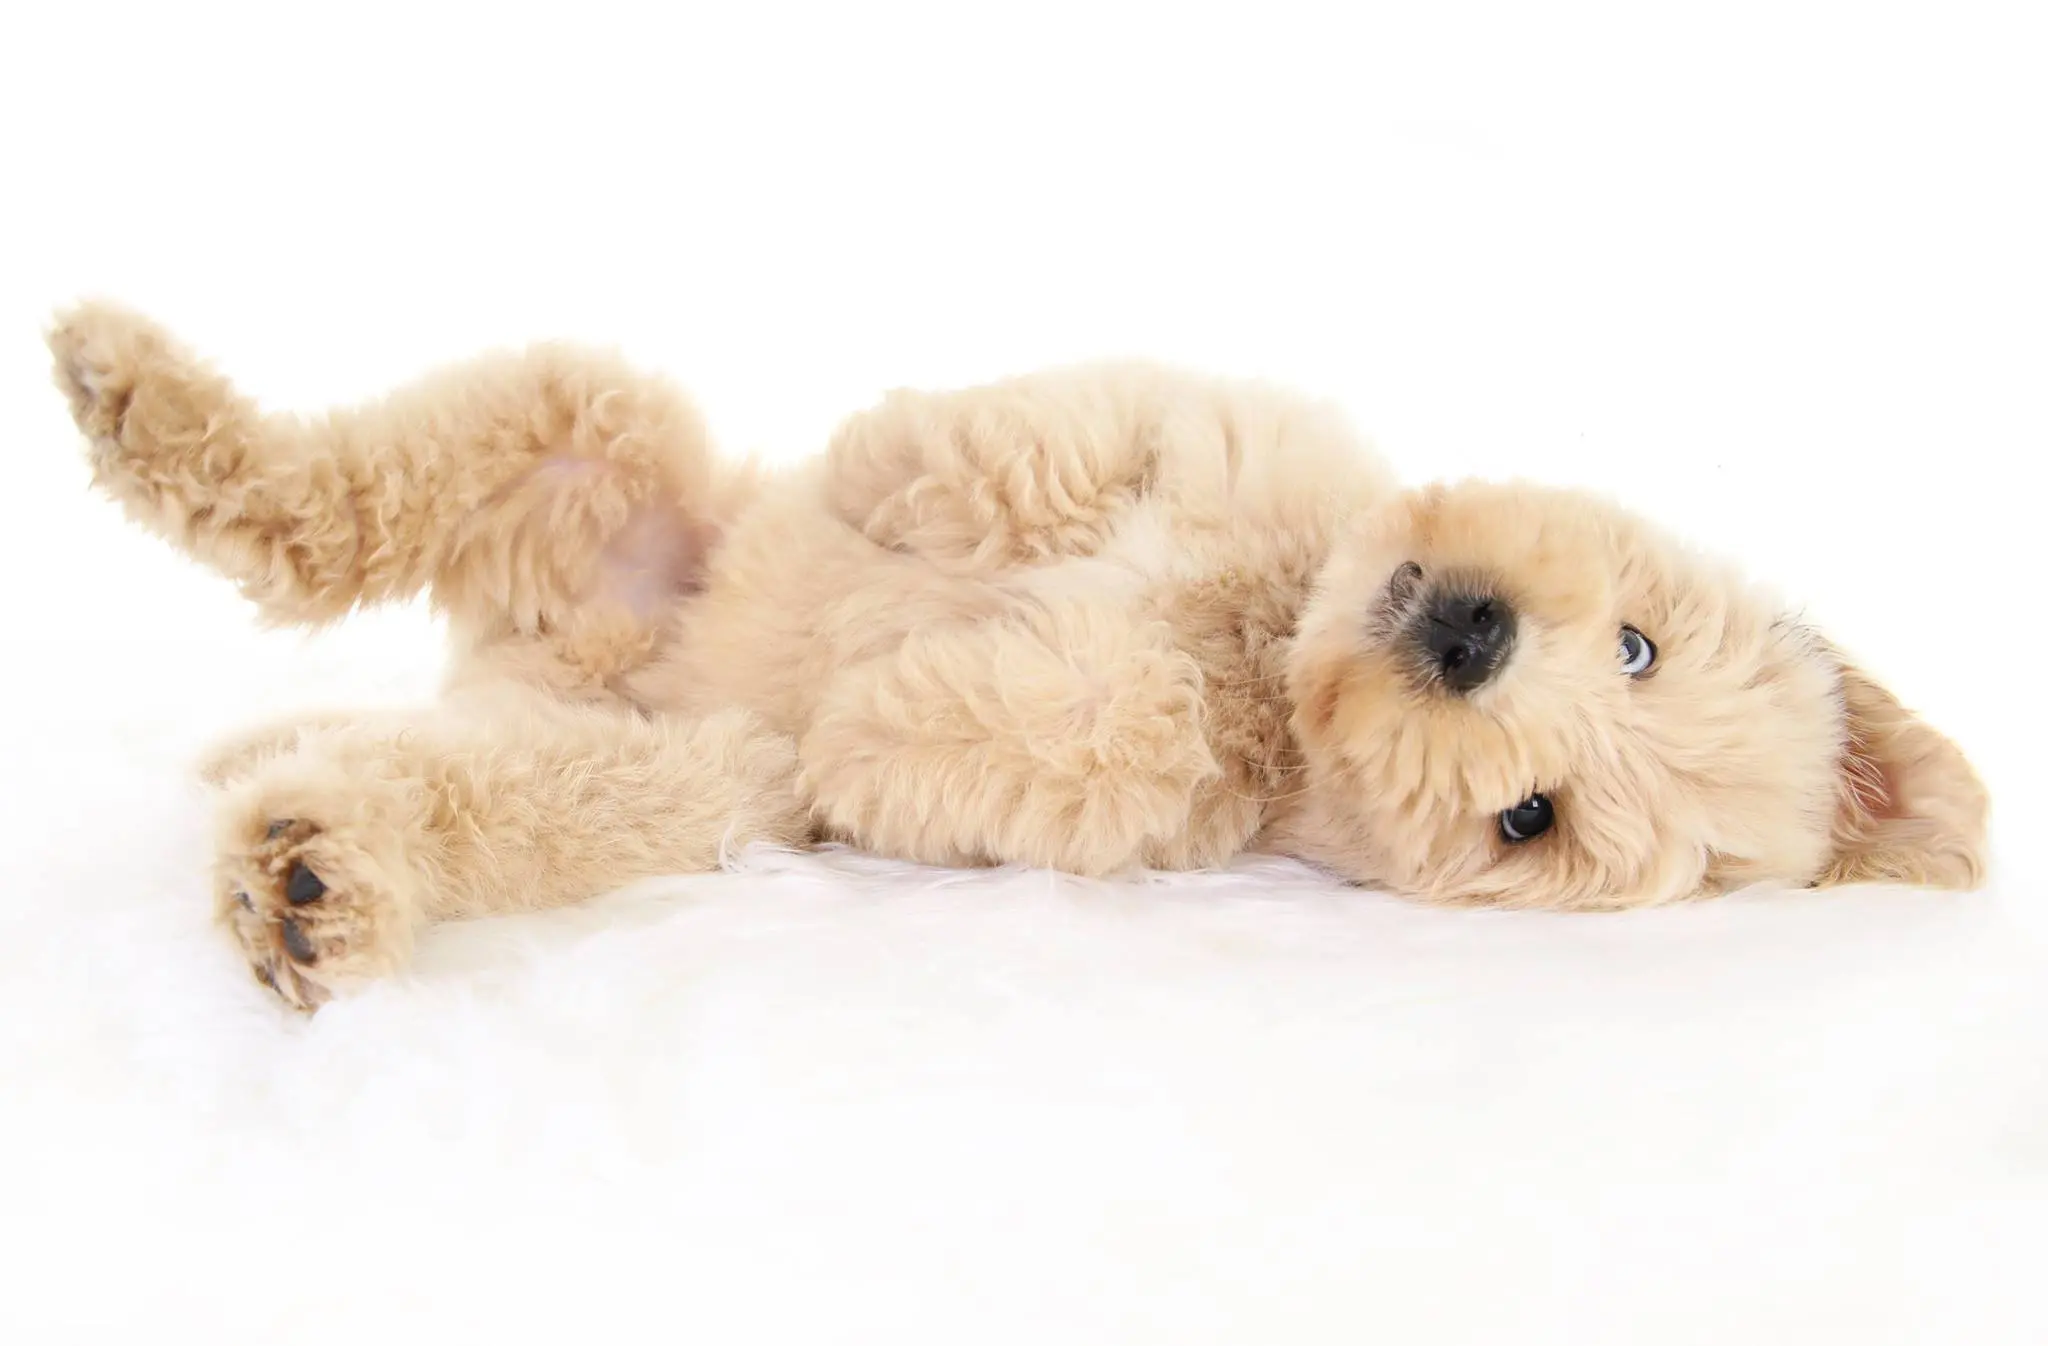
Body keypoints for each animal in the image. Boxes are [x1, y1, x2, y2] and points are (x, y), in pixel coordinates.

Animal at [44, 299, 1982, 1003]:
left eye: (1534, 824)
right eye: (1640, 645)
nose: (1466, 635)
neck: (1265, 623)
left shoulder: (1146, 788)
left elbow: (1060, 719)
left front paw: (896, 705)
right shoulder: (1176, 421)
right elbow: (1016, 451)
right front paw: (927, 494)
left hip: (669, 786)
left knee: (466, 789)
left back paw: (310, 872)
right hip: (576, 427)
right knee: (319, 500)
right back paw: (133, 392)